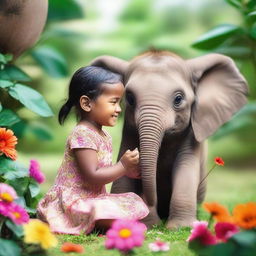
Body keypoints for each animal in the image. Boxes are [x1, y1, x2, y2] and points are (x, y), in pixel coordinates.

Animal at [90, 50, 248, 228]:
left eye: (178, 99)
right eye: (130, 98)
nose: (151, 204)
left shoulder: (191, 137)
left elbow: (185, 167)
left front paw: (181, 227)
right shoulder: (129, 132)